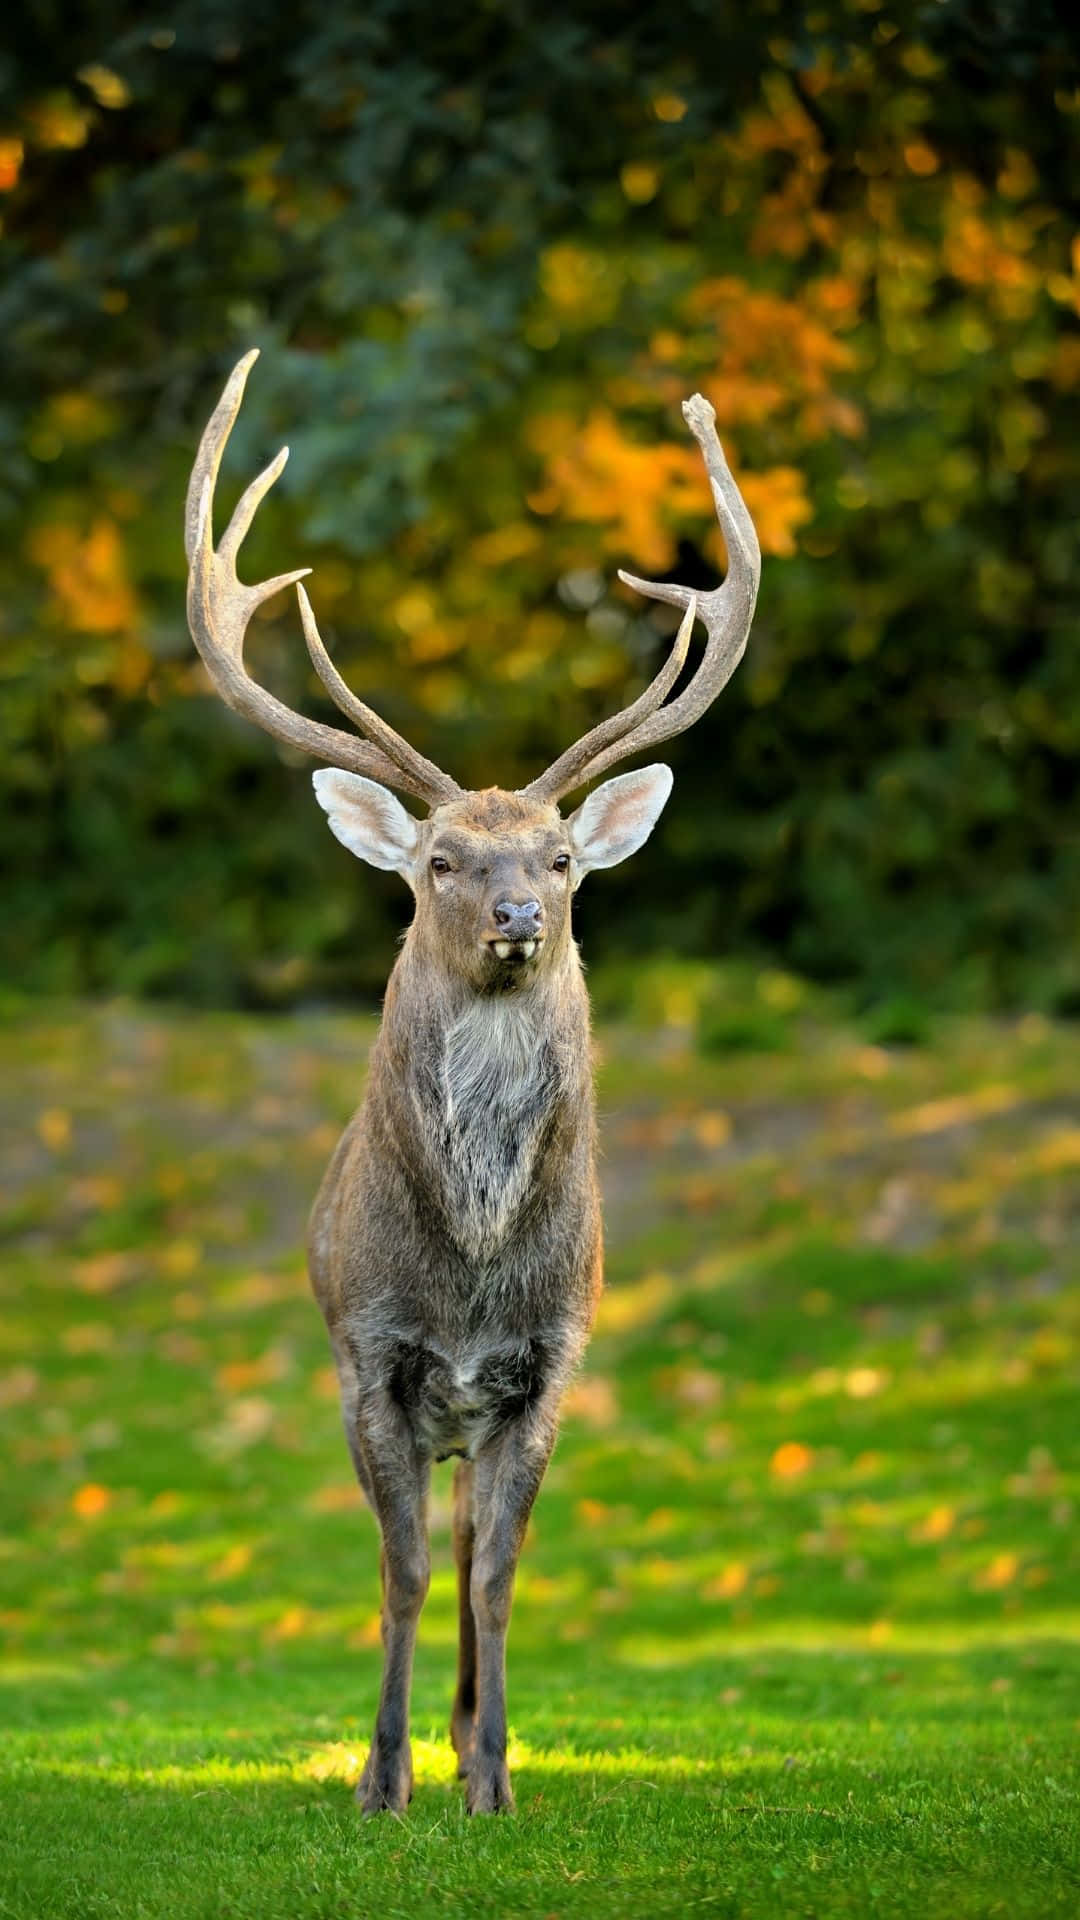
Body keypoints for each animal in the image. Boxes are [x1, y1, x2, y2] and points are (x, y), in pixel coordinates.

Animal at [184, 357, 757, 1812]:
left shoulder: (551, 1360)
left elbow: (495, 1575)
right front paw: (381, 1779)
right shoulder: (368, 1351)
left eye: (559, 856)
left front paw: (492, 1776)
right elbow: (394, 1571)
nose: (516, 916)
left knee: (461, 1546)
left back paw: (461, 1732)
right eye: (441, 859)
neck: (474, 1272)